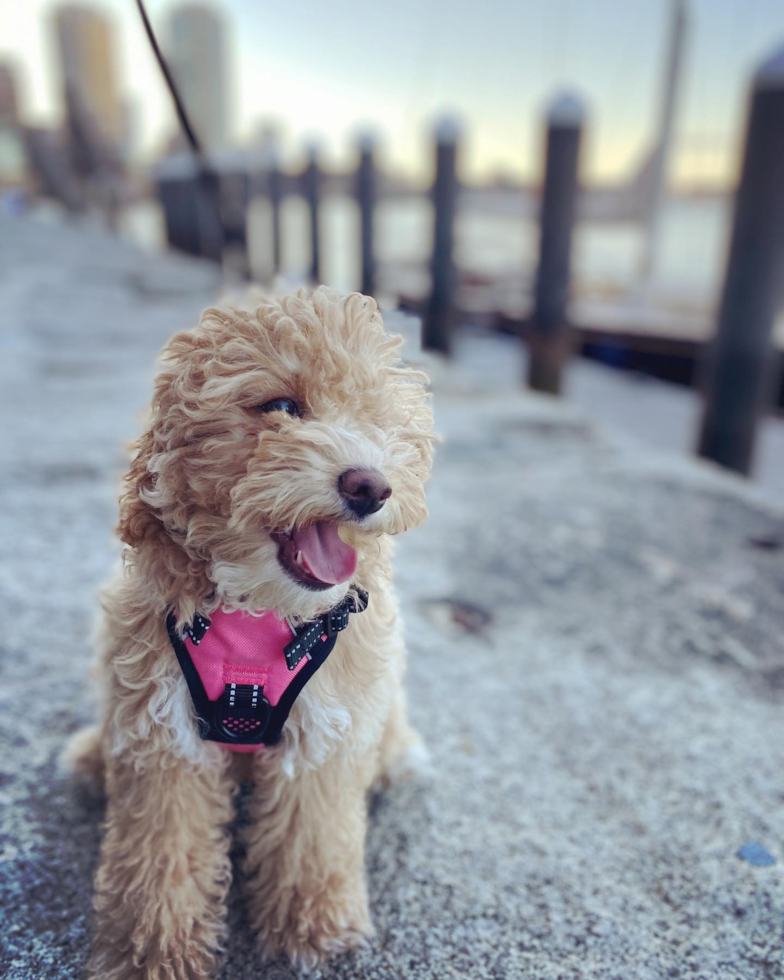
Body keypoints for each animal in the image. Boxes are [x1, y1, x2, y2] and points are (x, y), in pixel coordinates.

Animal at [67, 290, 434, 980]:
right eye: (282, 408)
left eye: (378, 421)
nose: (371, 486)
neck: (255, 612)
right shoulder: (163, 735)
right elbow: (159, 854)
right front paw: (151, 953)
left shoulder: (326, 731)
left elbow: (313, 835)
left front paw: (312, 928)